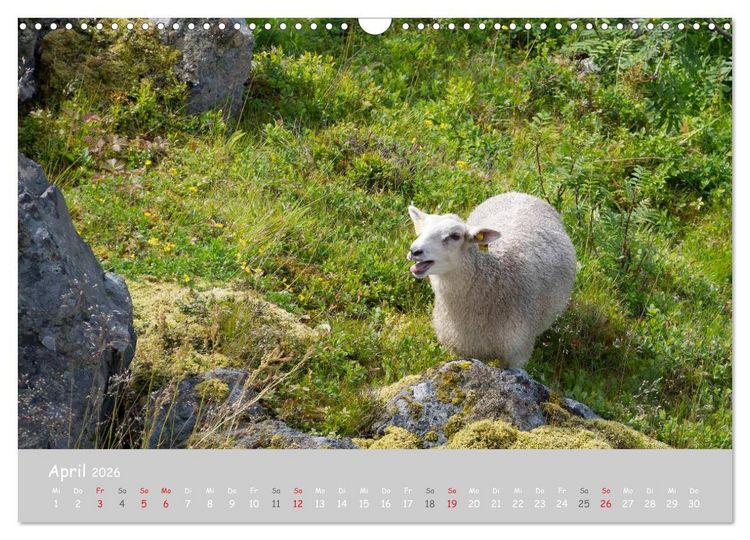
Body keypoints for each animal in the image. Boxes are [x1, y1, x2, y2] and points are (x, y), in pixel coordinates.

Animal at [407, 192, 576, 368]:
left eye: (455, 236)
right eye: (420, 232)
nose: (414, 251)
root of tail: (518, 193)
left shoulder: (518, 352)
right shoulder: (466, 350)